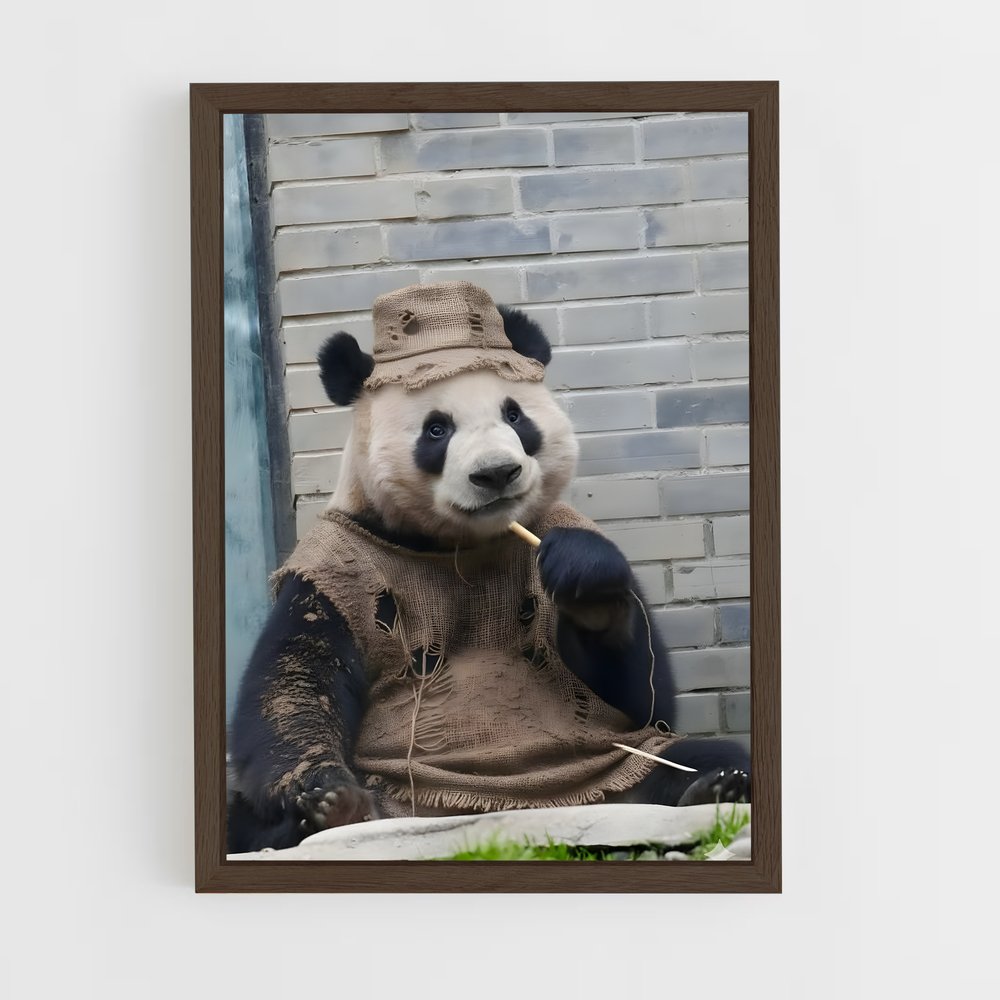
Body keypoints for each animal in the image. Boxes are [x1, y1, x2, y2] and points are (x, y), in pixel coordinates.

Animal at [227, 282, 750, 854]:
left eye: (516, 416)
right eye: (436, 430)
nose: (498, 473)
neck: (453, 544)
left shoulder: (561, 526)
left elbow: (644, 699)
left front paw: (584, 579)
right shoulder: (335, 564)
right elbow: (294, 682)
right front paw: (327, 792)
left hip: (607, 767)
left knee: (685, 756)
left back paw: (713, 788)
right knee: (241, 813)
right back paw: (333, 816)